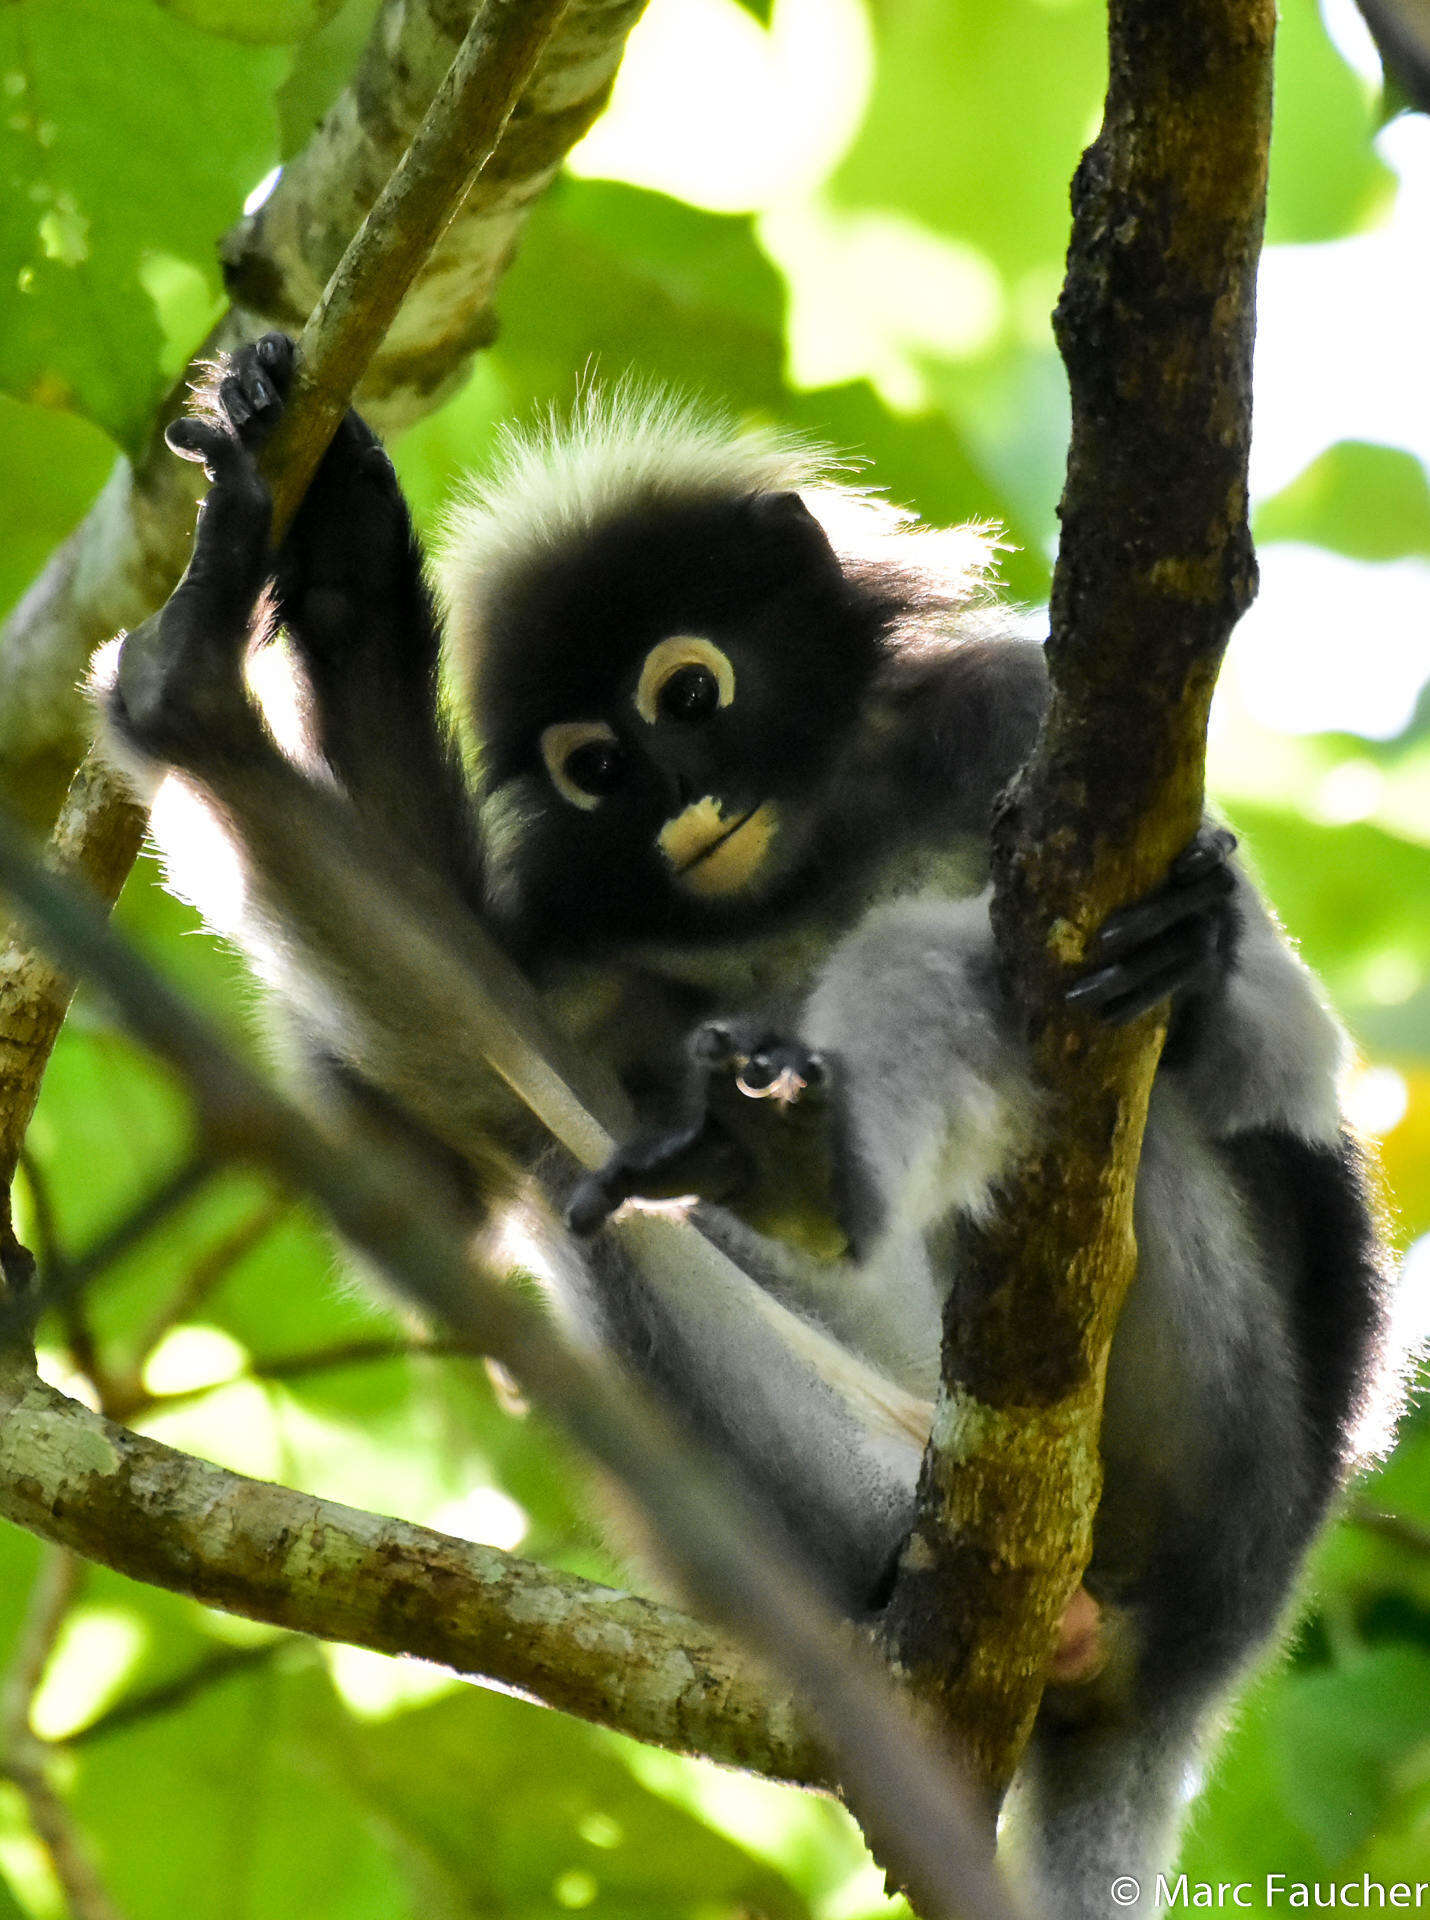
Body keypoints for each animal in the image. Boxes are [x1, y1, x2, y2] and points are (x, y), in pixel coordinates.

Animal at [103, 337, 1397, 1912]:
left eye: (688, 692)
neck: (809, 853)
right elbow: (433, 1161)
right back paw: (186, 698)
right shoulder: (585, 923)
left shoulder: (1014, 712)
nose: (682, 801)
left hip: (1208, 1429)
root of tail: (1200, 1661)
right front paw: (340, 562)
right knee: (556, 1163)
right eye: (595, 765)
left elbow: (1292, 1070)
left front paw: (1195, 942)